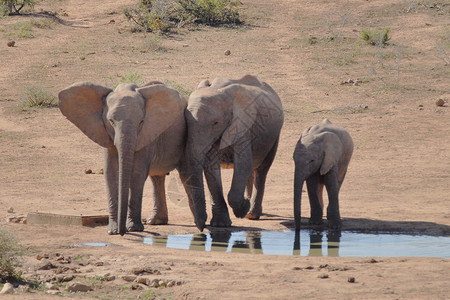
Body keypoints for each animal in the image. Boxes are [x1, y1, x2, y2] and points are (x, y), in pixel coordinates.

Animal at [59, 81, 187, 236]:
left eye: (141, 122)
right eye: (111, 121)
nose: (122, 232)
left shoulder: (148, 133)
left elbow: (137, 173)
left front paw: (134, 228)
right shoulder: (105, 133)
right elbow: (111, 172)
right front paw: (113, 230)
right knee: (157, 177)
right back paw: (155, 221)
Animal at [180, 74, 284, 231]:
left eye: (216, 123)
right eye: (186, 122)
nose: (202, 227)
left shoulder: (242, 124)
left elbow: (243, 163)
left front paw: (242, 209)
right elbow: (211, 168)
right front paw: (220, 224)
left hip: (275, 136)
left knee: (262, 169)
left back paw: (251, 214)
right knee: (251, 170)